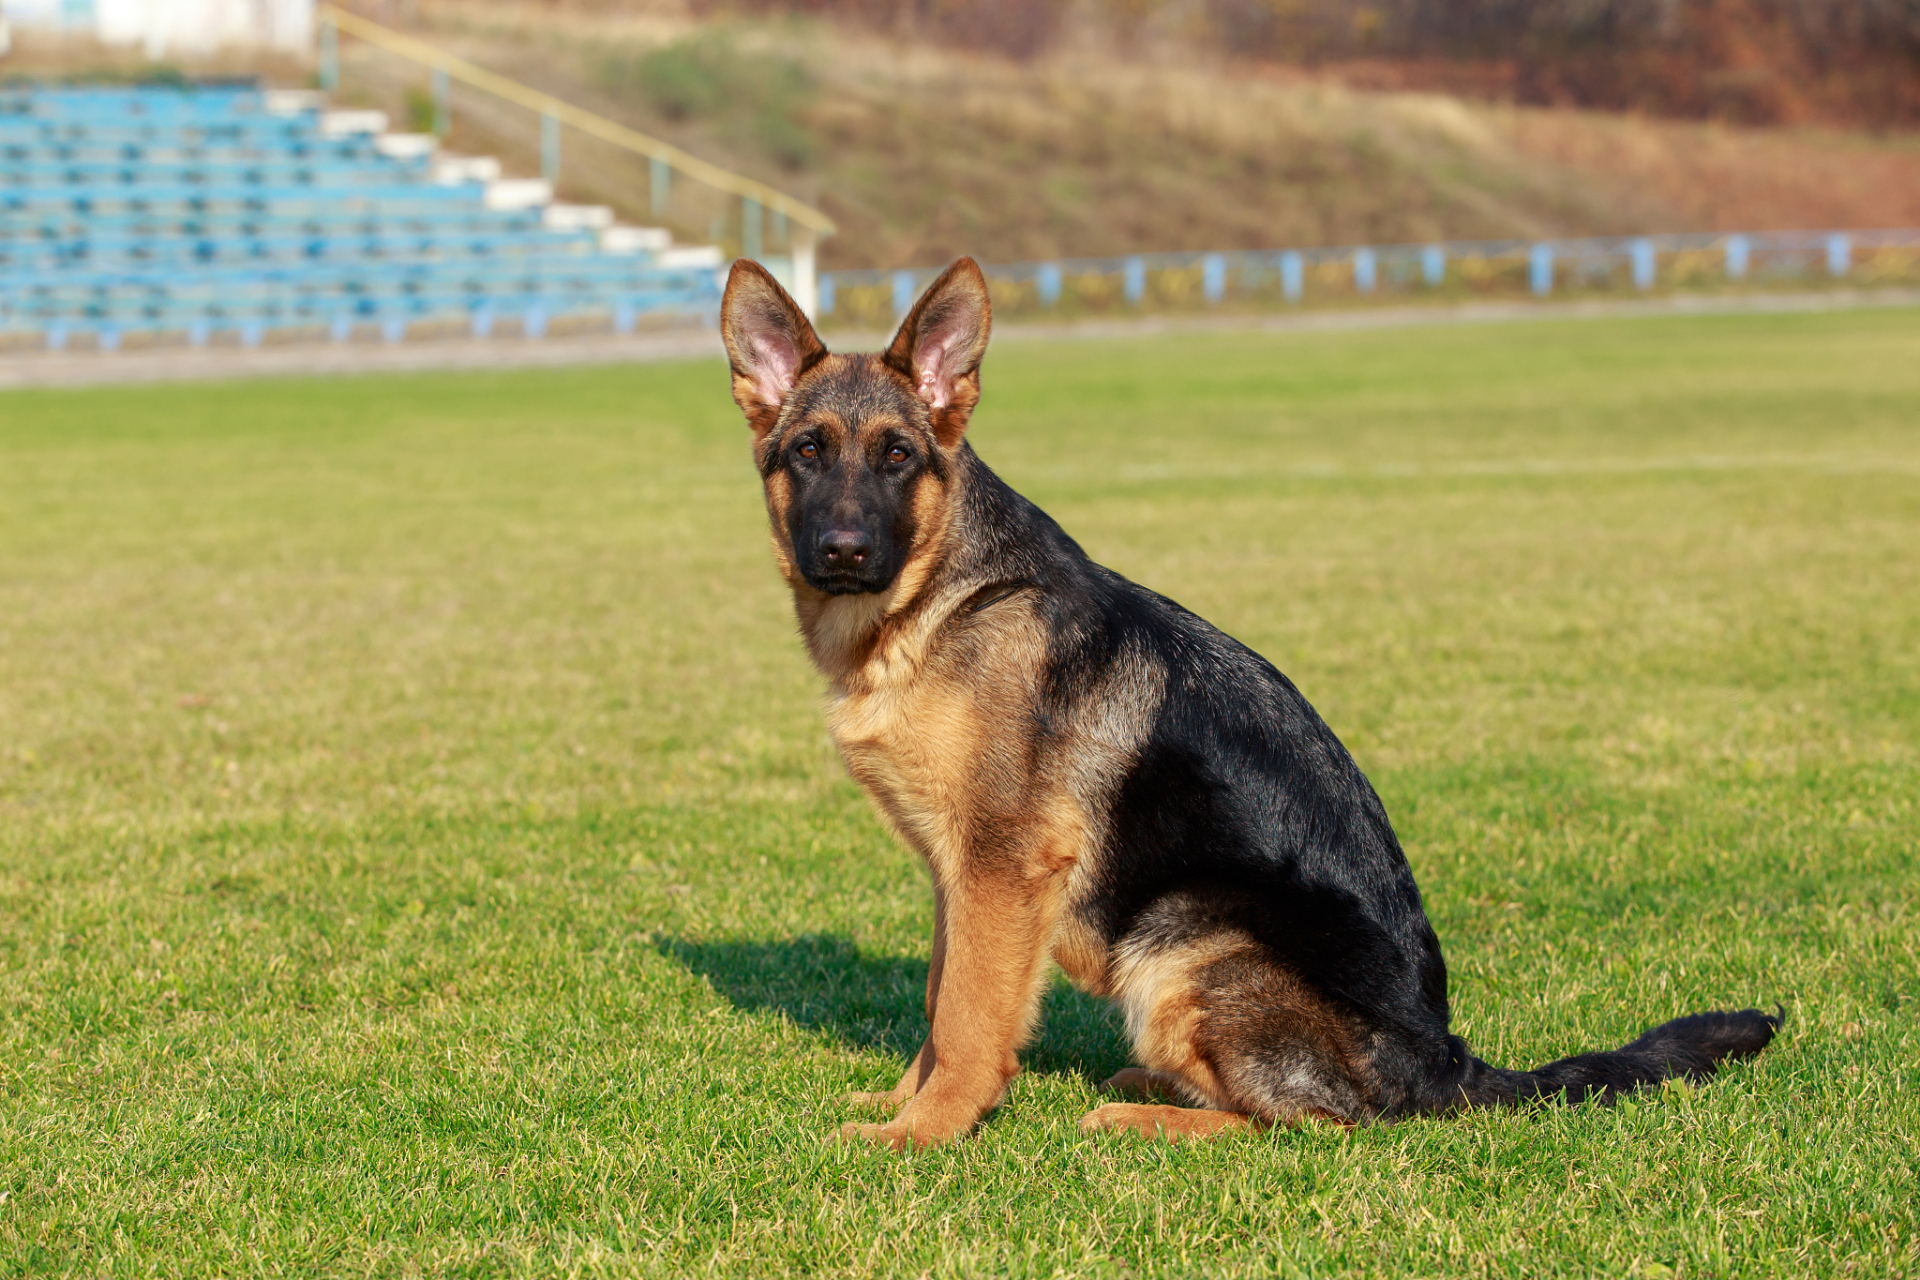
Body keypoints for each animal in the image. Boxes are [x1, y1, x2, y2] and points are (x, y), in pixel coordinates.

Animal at [721, 255, 1781, 1143]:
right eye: (808, 452)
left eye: (897, 457)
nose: (844, 552)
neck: (939, 599)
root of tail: (1447, 1064)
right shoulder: (960, 875)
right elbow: (944, 1001)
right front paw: (905, 1101)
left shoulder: (1001, 867)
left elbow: (972, 1017)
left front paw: (925, 1132)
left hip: (1184, 937)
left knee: (1315, 1124)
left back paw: (1148, 1119)